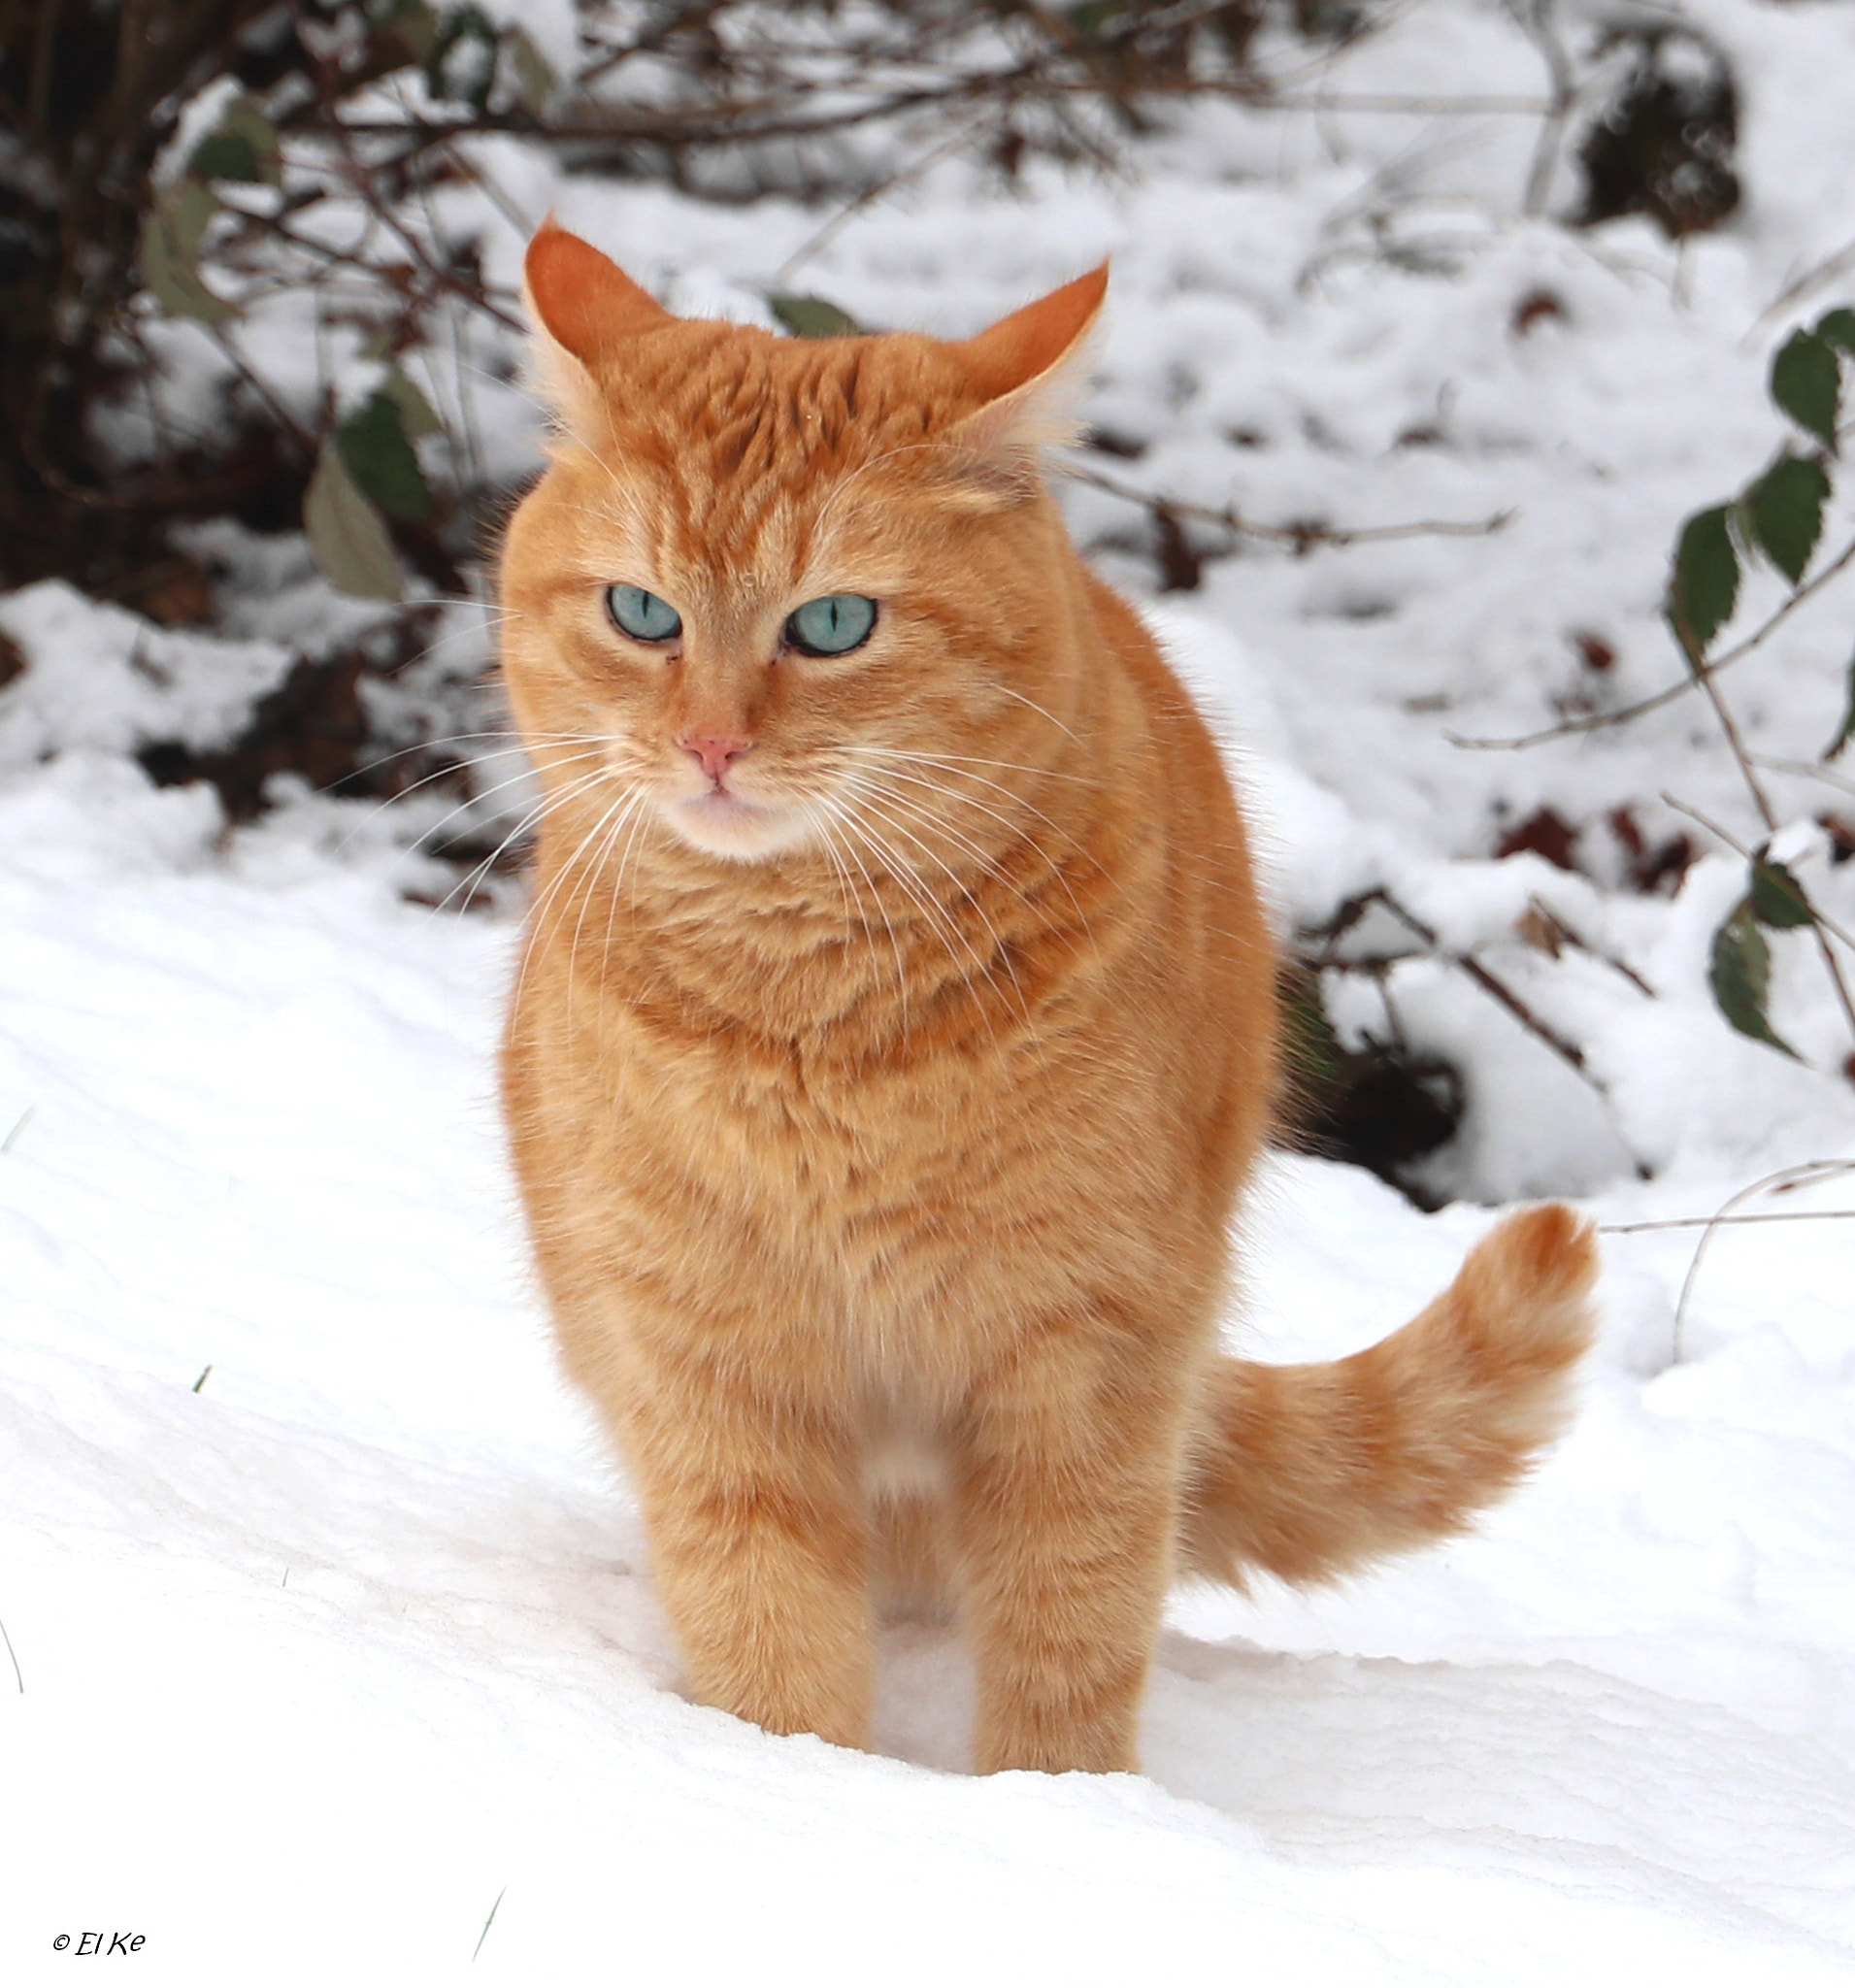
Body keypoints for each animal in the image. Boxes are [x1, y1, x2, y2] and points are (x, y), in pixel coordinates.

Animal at [499, 225, 1598, 1781]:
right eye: (640, 613)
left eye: (833, 624)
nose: (710, 744)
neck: (806, 1013)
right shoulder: (711, 1362)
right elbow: (763, 1616)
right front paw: (794, 1782)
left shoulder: (1087, 1362)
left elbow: (1067, 1620)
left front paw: (1058, 1812)